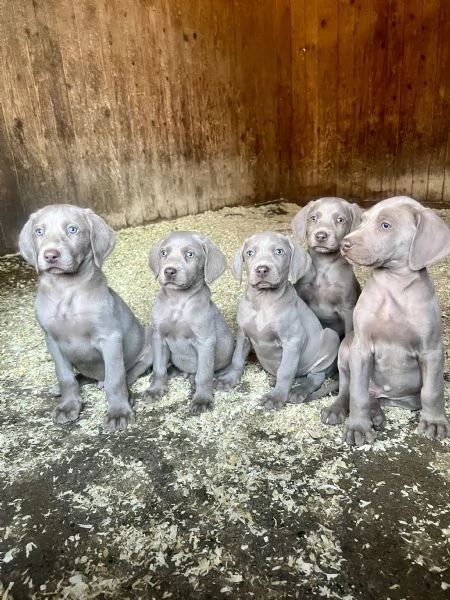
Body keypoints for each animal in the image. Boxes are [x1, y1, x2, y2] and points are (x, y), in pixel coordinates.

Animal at [18, 205, 153, 432]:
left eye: (72, 229)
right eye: (39, 231)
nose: (51, 255)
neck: (66, 290)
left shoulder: (109, 338)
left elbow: (116, 378)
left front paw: (118, 412)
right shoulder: (52, 341)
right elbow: (65, 377)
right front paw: (68, 405)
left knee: (126, 374)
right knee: (79, 376)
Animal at [145, 232, 236, 414]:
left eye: (190, 254)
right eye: (163, 253)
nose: (169, 271)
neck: (178, 302)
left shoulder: (205, 341)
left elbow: (204, 374)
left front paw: (202, 399)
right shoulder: (158, 337)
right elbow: (159, 368)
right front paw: (155, 389)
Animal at [214, 230, 338, 408]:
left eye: (279, 251)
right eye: (249, 253)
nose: (262, 270)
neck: (263, 301)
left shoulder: (293, 340)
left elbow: (285, 371)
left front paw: (277, 397)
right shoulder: (243, 334)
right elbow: (237, 359)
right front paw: (228, 380)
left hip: (330, 337)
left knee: (315, 377)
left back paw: (299, 390)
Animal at [322, 197, 450, 446]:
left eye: (385, 225)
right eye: (362, 220)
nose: (344, 244)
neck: (394, 285)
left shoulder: (432, 350)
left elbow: (433, 391)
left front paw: (434, 422)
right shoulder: (361, 348)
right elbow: (357, 394)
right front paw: (358, 427)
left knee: (385, 398)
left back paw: (376, 414)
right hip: (346, 350)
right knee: (348, 389)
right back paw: (339, 410)